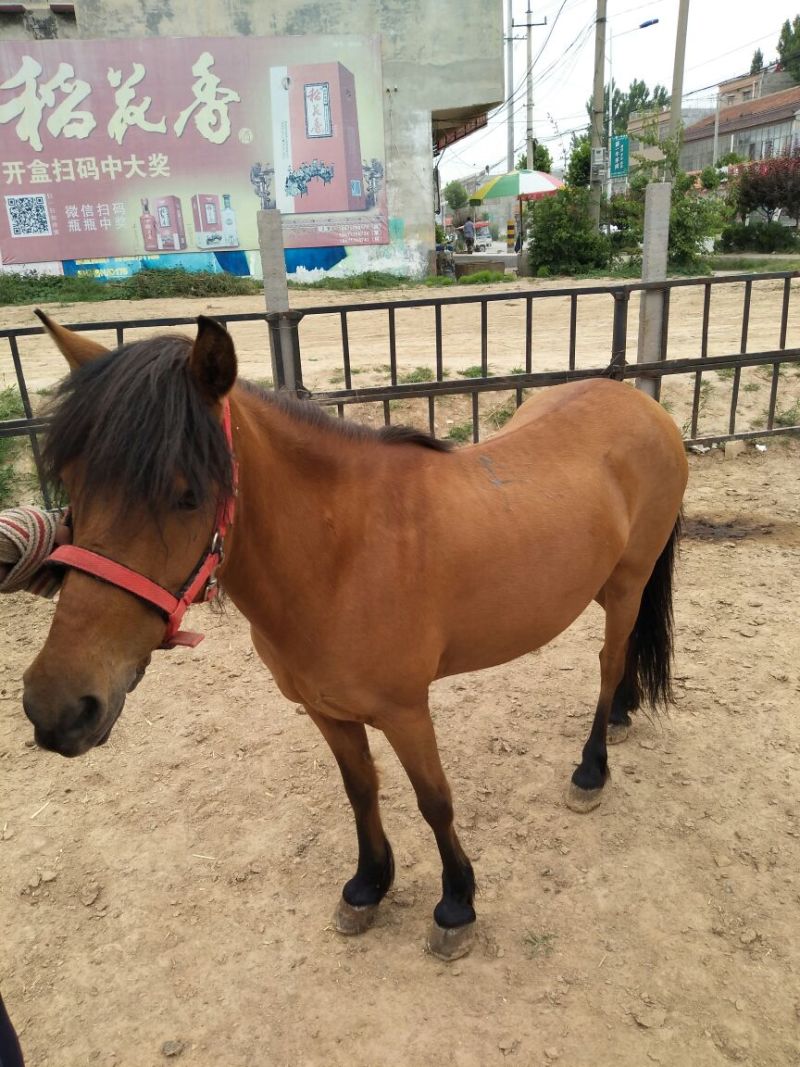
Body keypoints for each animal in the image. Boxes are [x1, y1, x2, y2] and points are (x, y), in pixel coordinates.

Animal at [22, 312, 688, 961]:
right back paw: (624, 713)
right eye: (73, 486)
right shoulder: (325, 710)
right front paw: (368, 886)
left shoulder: (406, 711)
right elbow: (360, 789)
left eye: (187, 496)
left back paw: (591, 770)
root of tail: (642, 404)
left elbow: (434, 799)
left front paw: (456, 905)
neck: (343, 555)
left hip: (628, 581)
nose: (57, 707)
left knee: (608, 662)